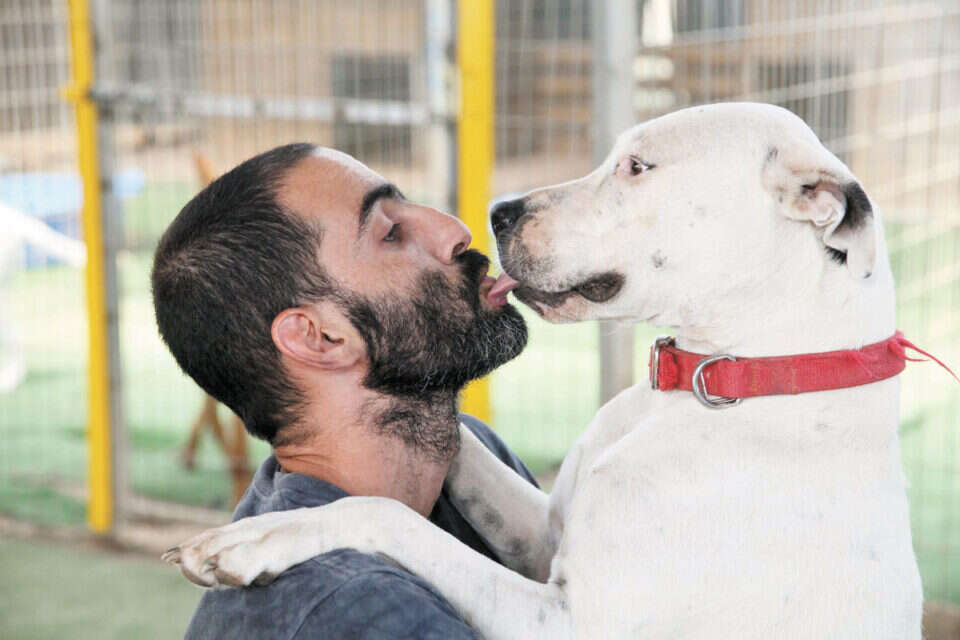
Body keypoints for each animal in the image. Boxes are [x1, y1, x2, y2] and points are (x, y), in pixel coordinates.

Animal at [166, 103, 923, 638]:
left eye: (637, 167)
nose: (499, 211)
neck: (719, 380)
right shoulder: (541, 536)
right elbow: (453, 447)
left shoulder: (571, 622)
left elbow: (387, 514)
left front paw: (259, 537)